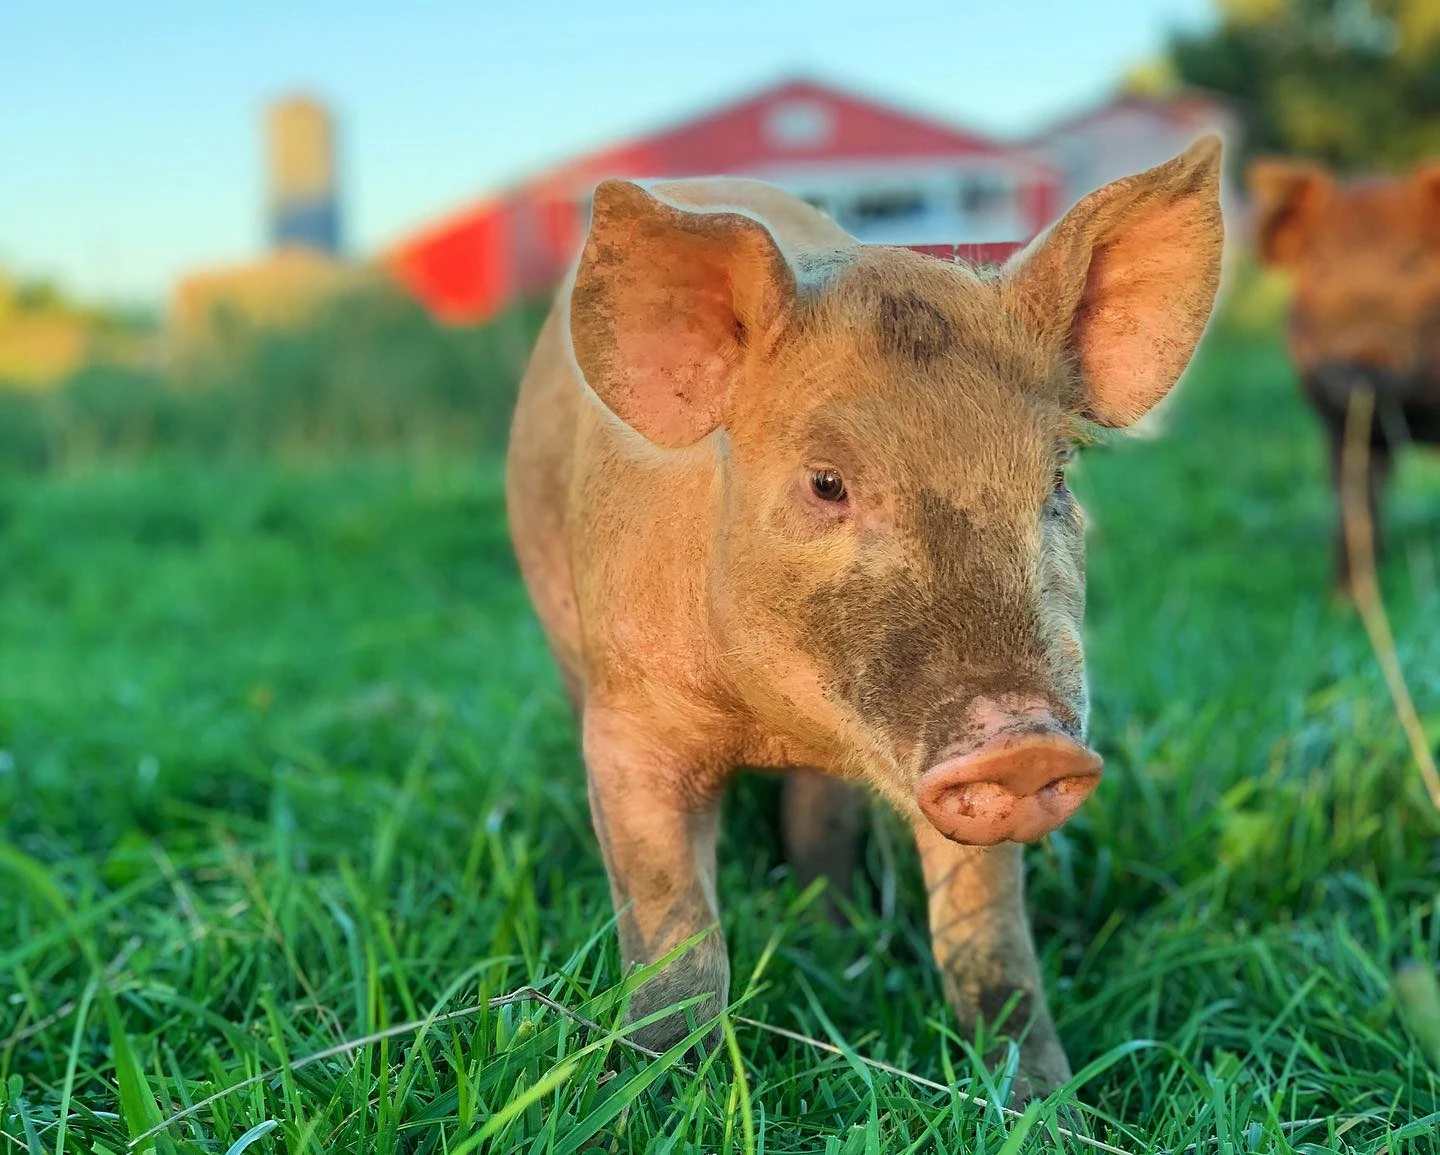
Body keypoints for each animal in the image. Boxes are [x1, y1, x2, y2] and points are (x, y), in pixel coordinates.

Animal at [505, 138, 1224, 1096]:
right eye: (826, 483)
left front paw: (1049, 1105)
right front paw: (651, 1096)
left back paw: (835, 932)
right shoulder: (627, 722)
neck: (769, 723)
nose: (1026, 743)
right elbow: (675, 939)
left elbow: (990, 946)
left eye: (1057, 480)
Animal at [1248, 158, 1440, 593]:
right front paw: (1343, 602)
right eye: (1319, 266)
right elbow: (1355, 504)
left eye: (1414, 261)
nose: (1363, 352)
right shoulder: (1339, 425)